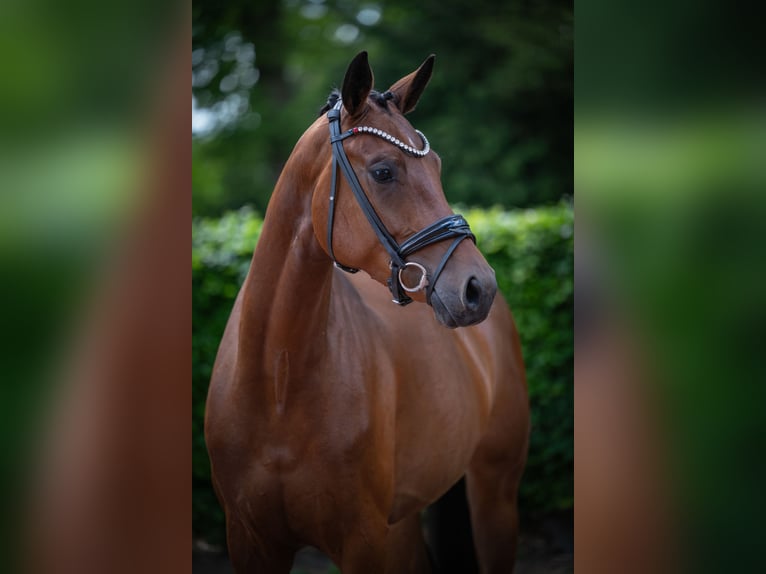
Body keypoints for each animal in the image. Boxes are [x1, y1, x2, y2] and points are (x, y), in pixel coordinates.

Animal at [205, 51, 530, 573]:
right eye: (383, 172)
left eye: (436, 166)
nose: (479, 288)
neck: (277, 381)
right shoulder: (250, 540)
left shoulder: (365, 541)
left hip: (494, 495)